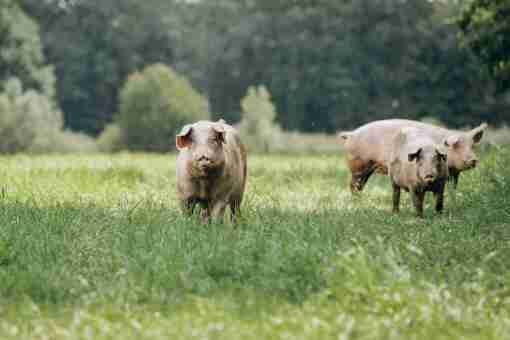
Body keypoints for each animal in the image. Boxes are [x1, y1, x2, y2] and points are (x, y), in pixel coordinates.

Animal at [338, 119, 486, 194]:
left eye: (471, 146)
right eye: (457, 146)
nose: (473, 159)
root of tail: (350, 134)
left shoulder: (453, 173)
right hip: (358, 165)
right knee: (353, 184)